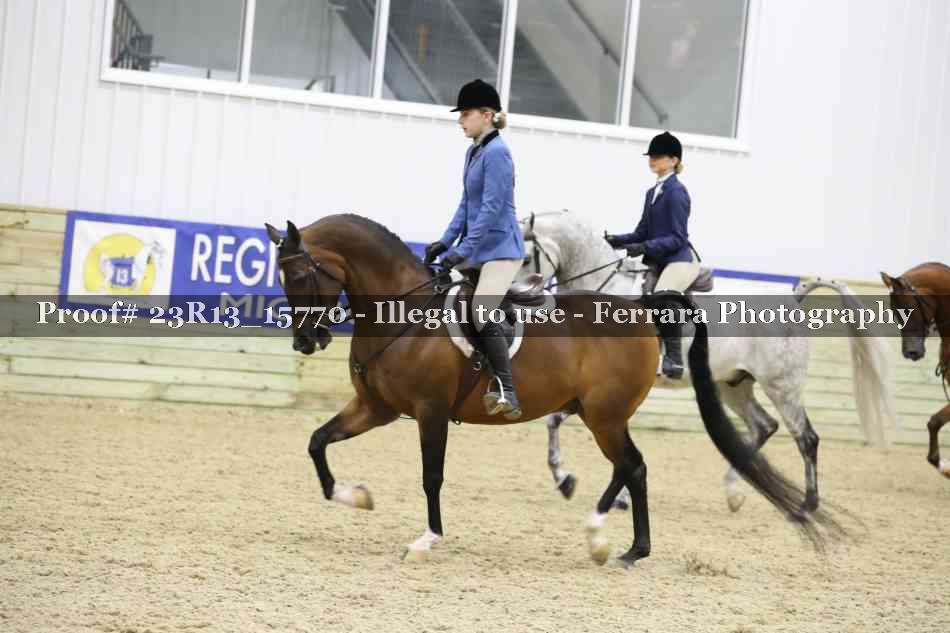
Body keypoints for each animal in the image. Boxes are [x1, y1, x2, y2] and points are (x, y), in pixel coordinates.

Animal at [264, 213, 840, 566]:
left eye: (302, 277)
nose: (307, 341)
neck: (402, 314)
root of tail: (639, 312)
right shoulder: (375, 407)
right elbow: (317, 442)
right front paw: (355, 496)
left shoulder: (429, 412)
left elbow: (431, 477)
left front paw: (427, 540)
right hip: (615, 408)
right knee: (638, 464)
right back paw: (620, 540)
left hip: (620, 411)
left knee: (641, 464)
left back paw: (618, 542)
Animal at [517, 210, 893, 512]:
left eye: (524, 259)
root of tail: (792, 298)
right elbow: (554, 422)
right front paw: (568, 480)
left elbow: (564, 425)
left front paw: (588, 486)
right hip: (732, 384)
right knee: (763, 426)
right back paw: (734, 493)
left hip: (781, 384)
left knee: (806, 437)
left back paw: (808, 504)